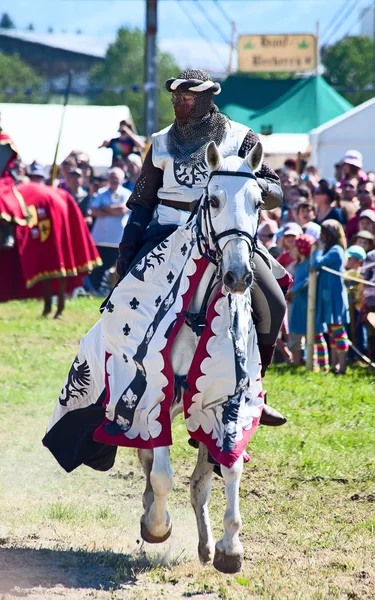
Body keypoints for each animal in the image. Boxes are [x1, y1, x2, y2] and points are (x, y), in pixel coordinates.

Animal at [137, 138, 264, 576]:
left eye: (259, 201)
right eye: (213, 199)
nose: (239, 276)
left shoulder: (227, 400)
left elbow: (231, 466)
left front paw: (230, 547)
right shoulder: (156, 395)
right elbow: (161, 474)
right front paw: (157, 526)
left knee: (201, 479)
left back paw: (207, 543)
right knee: (150, 464)